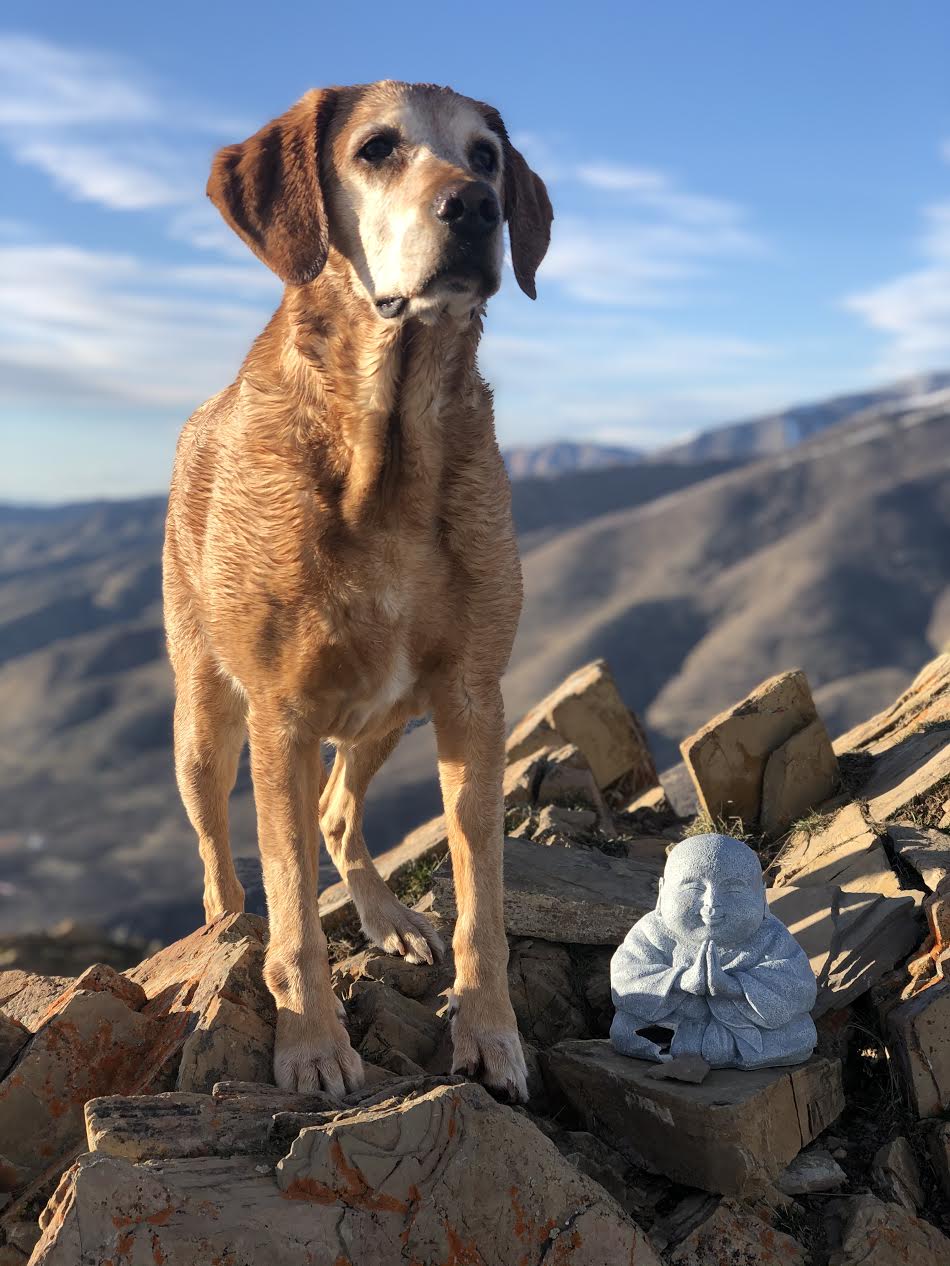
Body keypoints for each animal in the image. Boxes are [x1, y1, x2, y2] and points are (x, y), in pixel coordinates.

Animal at [160, 84, 554, 1103]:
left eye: (488, 156)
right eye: (376, 149)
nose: (476, 209)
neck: (389, 453)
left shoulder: (472, 698)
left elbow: (483, 901)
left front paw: (491, 1035)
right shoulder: (283, 714)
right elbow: (293, 904)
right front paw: (309, 1045)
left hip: (389, 710)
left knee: (340, 812)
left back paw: (387, 917)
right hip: (206, 716)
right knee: (222, 863)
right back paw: (227, 932)